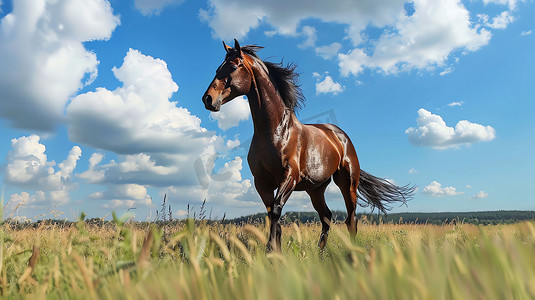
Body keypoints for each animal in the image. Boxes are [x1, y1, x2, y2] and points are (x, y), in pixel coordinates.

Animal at [203, 39, 416, 251]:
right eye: (217, 68)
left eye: (232, 67)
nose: (207, 99)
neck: (276, 132)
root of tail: (341, 136)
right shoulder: (261, 182)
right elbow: (272, 214)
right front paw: (275, 253)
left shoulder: (289, 177)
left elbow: (276, 210)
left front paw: (271, 251)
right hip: (316, 189)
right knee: (327, 216)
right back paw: (320, 254)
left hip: (347, 183)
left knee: (351, 220)